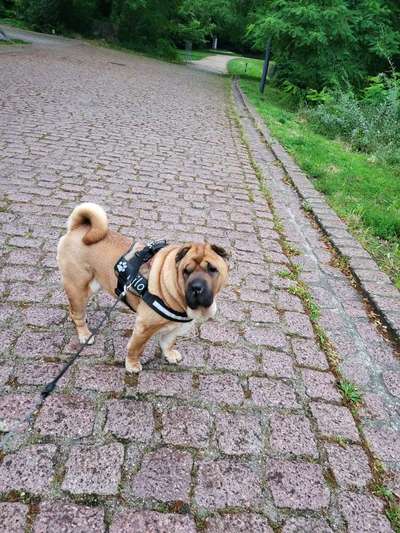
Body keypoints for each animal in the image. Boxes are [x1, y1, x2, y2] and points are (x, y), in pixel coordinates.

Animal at [57, 202, 230, 372]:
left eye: (212, 269)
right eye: (185, 271)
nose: (197, 287)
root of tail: (78, 229)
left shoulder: (175, 328)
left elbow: (168, 342)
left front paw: (170, 355)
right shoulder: (144, 328)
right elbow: (135, 348)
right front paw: (132, 365)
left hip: (91, 286)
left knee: (75, 308)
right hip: (78, 286)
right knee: (77, 313)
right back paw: (85, 334)